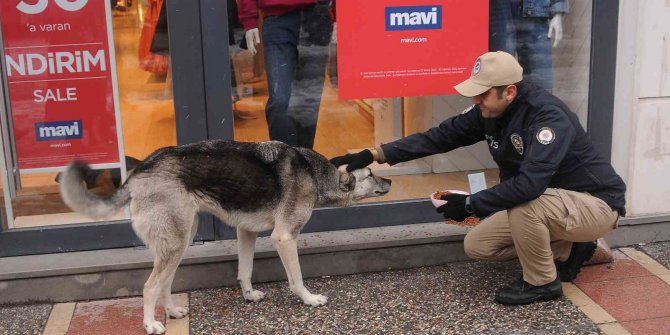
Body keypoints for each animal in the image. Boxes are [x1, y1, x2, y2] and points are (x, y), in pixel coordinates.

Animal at [61, 140, 394, 334]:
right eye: (371, 174)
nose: (390, 180)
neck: (316, 174)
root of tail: (138, 172)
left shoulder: (246, 232)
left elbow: (244, 271)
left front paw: (249, 295)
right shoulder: (284, 238)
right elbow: (296, 279)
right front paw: (310, 299)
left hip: (181, 242)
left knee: (165, 283)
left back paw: (172, 311)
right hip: (176, 243)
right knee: (150, 286)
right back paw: (151, 324)